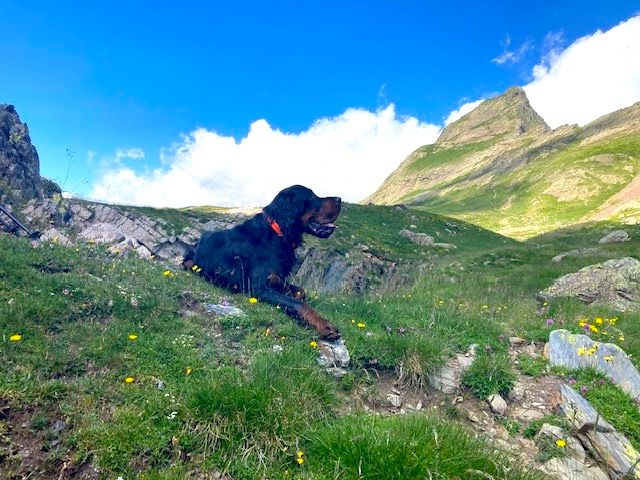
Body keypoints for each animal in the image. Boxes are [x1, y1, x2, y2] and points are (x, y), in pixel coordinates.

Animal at [182, 186, 342, 340]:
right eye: (311, 196)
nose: (339, 199)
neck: (275, 232)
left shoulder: (276, 277)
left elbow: (300, 291)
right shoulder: (258, 288)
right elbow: (299, 304)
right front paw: (324, 325)